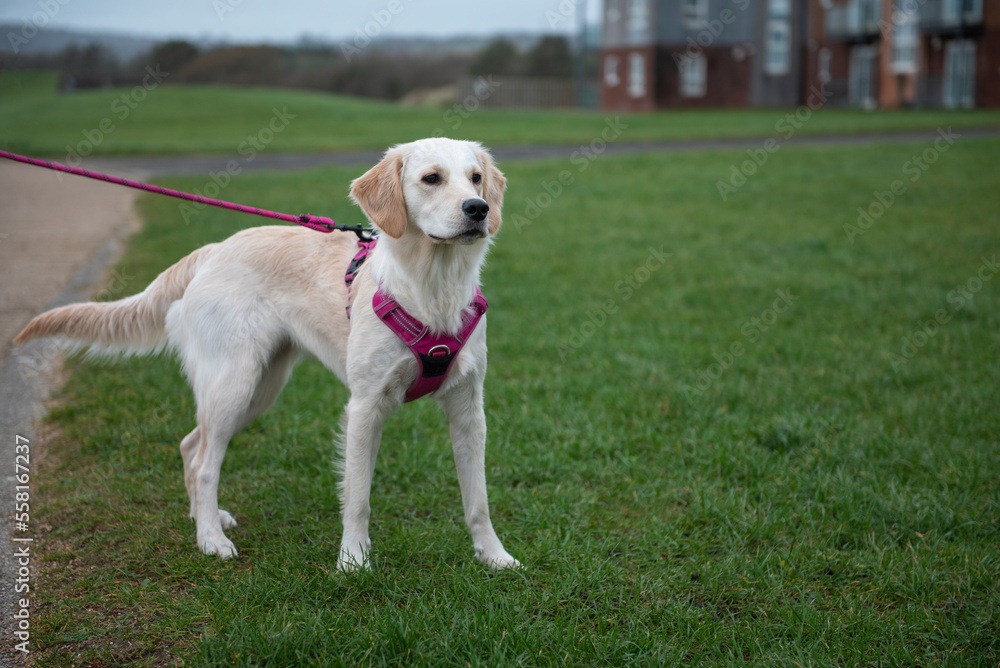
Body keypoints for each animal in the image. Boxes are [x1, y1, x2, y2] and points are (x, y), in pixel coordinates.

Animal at [15, 138, 520, 572]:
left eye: (475, 178)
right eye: (432, 178)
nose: (478, 210)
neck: (432, 289)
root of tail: (213, 250)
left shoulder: (468, 408)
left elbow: (478, 499)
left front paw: (493, 555)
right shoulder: (365, 406)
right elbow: (358, 497)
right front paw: (354, 561)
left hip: (260, 388)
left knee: (191, 445)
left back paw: (205, 520)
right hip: (234, 384)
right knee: (204, 462)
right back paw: (211, 540)